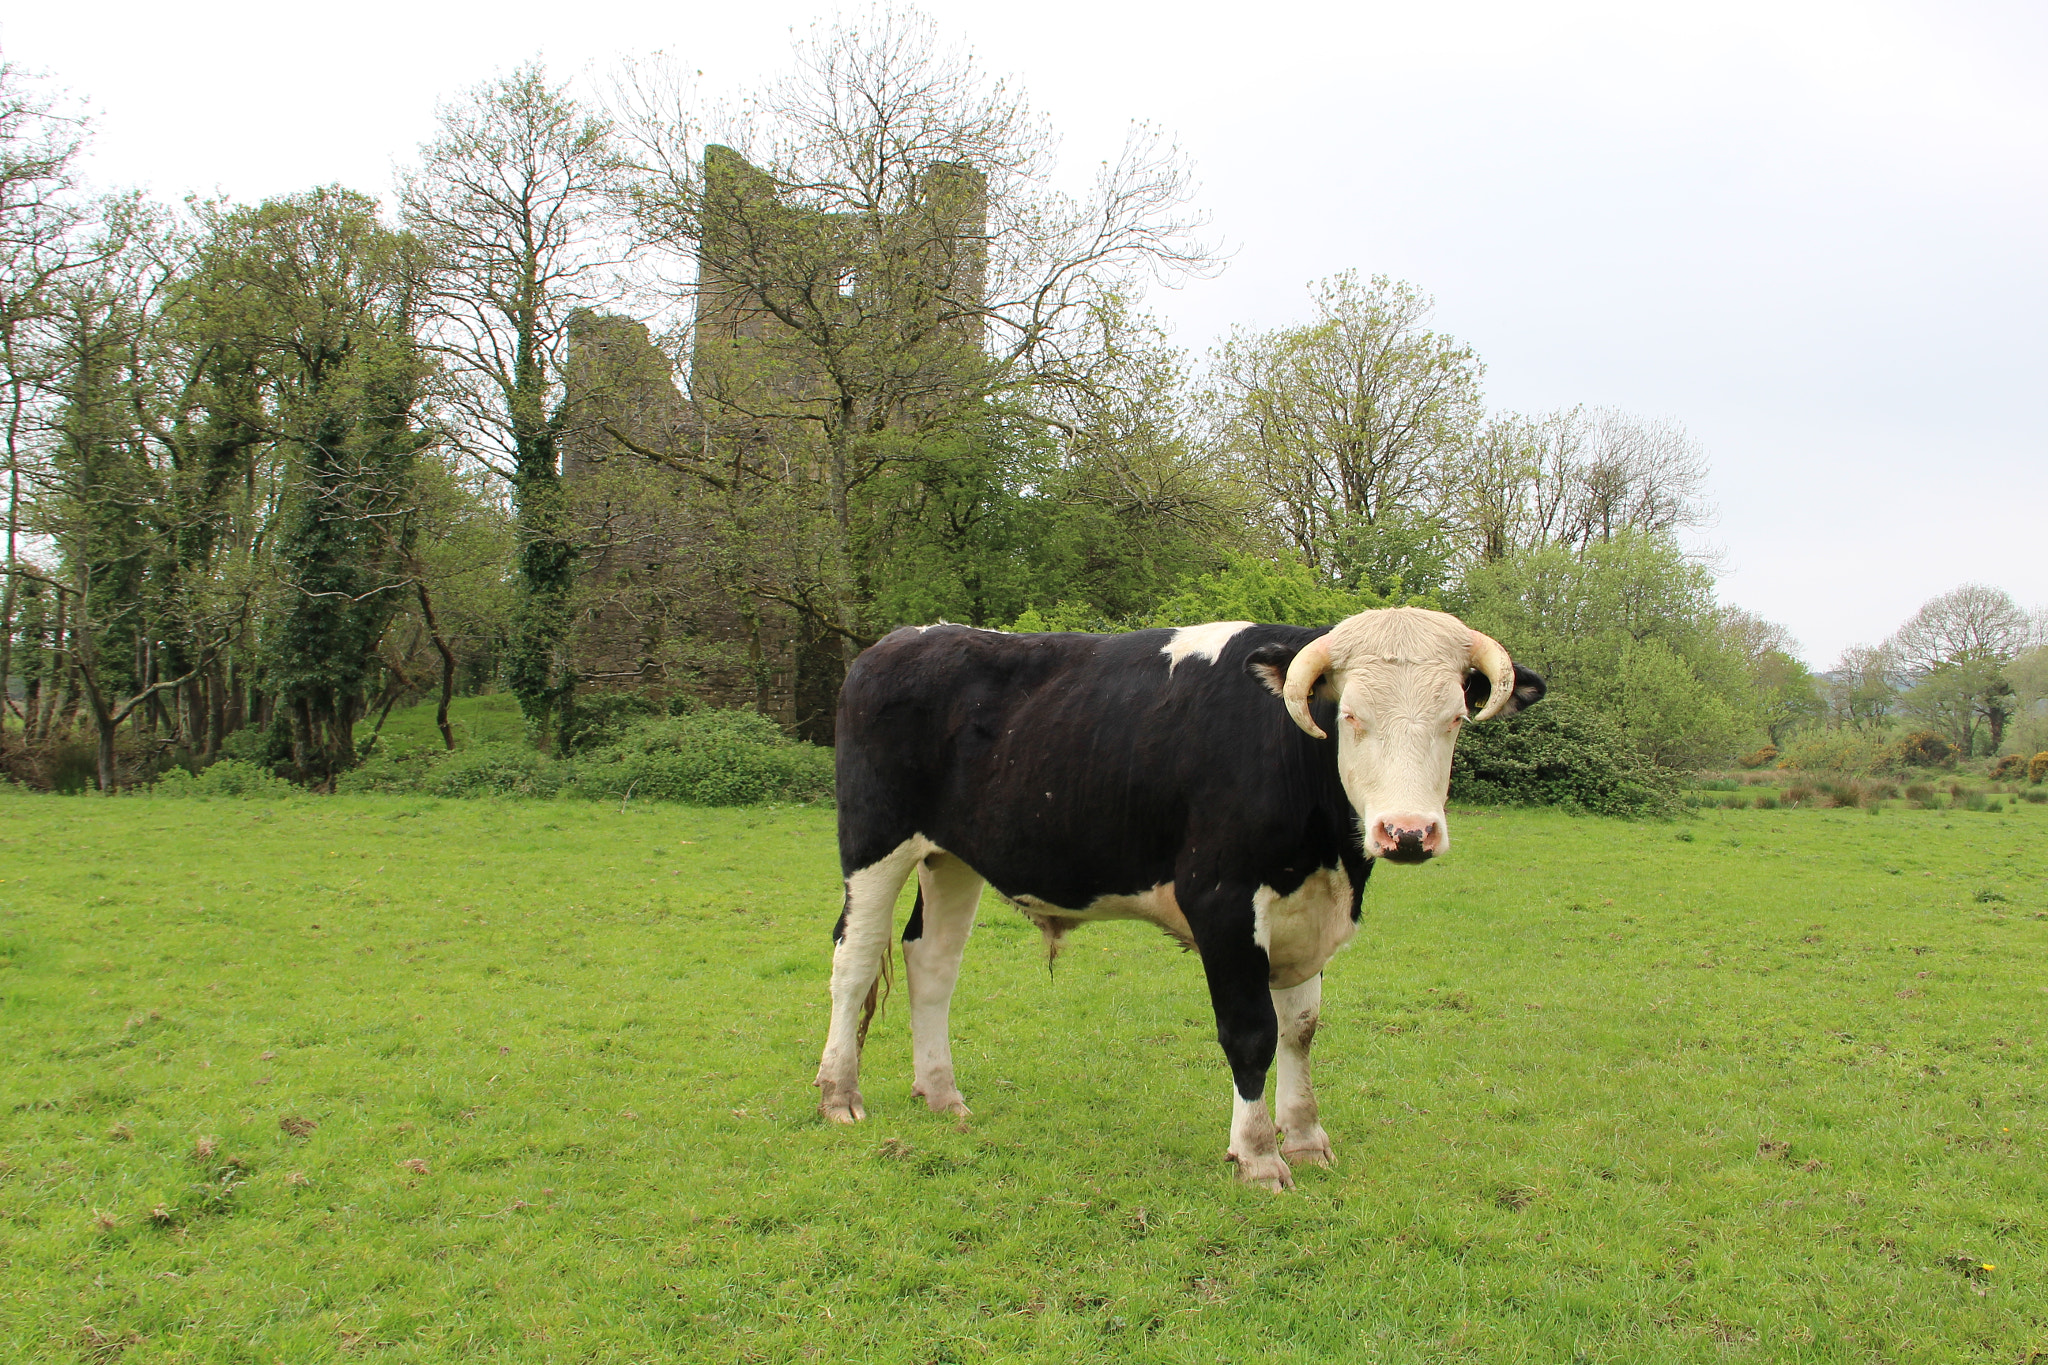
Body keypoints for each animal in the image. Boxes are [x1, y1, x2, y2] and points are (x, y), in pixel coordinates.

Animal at [814, 606, 1545, 1189]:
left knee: (931, 963)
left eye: (1455, 718)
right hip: (875, 842)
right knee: (854, 960)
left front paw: (1307, 1138)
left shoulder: (1304, 912)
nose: (1409, 832)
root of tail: (900, 641)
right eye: (1350, 716)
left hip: (953, 857)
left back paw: (942, 1093)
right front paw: (1258, 1157)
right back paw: (838, 1093)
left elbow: (1301, 1030)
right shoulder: (1221, 901)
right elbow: (1252, 1032)